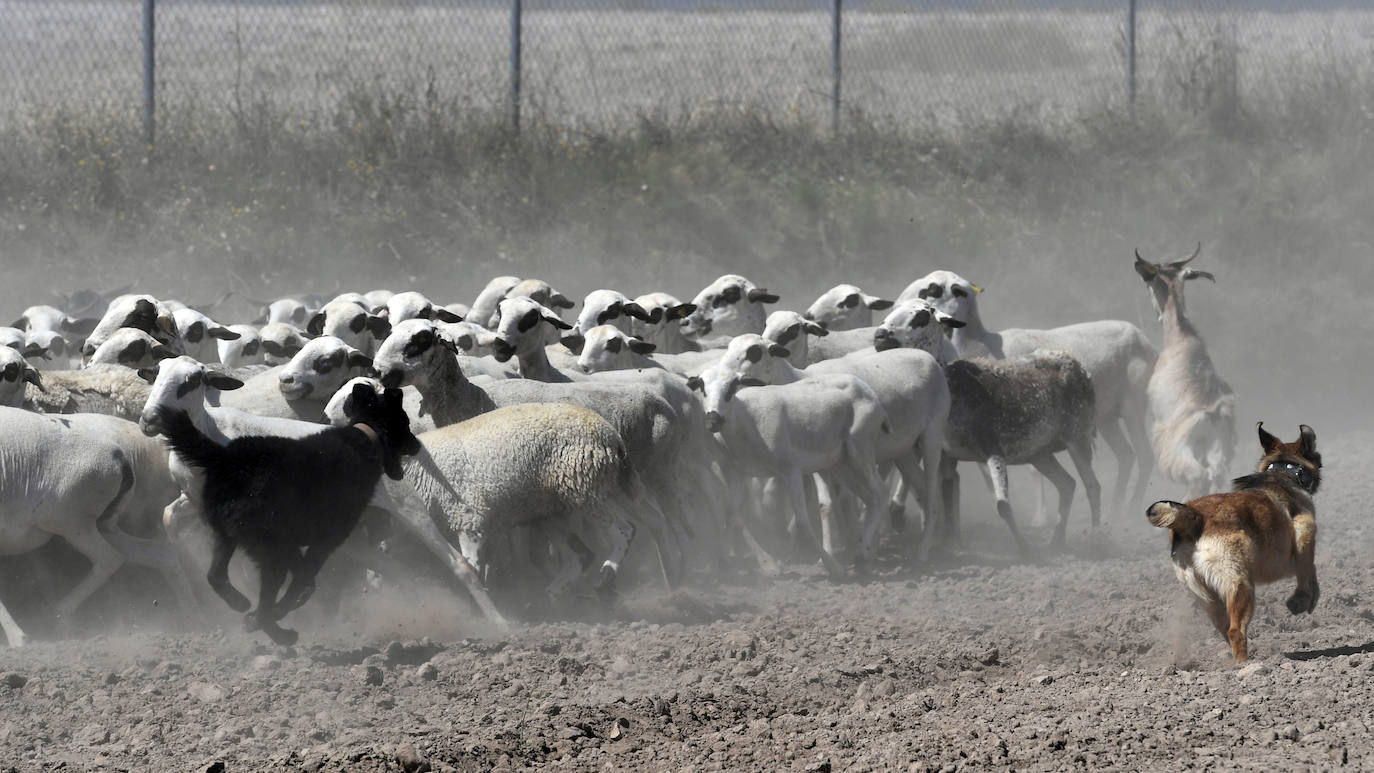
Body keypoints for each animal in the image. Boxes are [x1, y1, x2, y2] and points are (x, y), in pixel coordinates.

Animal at [155, 383, 421, 645]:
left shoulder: (291, 544)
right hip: (272, 553)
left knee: (215, 576)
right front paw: (280, 610)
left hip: (227, 537)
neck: (365, 436)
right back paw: (279, 634)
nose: (417, 445)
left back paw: (241, 604)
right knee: (261, 600)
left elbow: (303, 580)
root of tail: (227, 460)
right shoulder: (323, 543)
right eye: (406, 423)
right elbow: (302, 580)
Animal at [900, 269, 1156, 518]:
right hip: (1106, 418)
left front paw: (1040, 518)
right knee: (1126, 455)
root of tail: (1145, 340)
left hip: (1132, 405)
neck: (982, 345)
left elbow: (1034, 471)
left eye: (932, 289)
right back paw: (1116, 511)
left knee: (1144, 455)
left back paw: (1132, 510)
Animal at [1134, 246, 1236, 499]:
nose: (1158, 314)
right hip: (1218, 450)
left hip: (1176, 454)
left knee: (1199, 477)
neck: (1181, 339)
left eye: (1148, 283)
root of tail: (1212, 413)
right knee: (1217, 478)